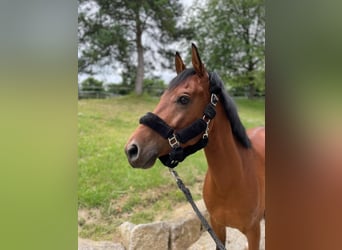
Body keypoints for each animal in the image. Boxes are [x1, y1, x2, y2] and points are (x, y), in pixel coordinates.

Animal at [125, 44, 264, 249]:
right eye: (162, 96)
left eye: (184, 99)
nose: (132, 150)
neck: (232, 182)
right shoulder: (217, 227)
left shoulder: (254, 232)